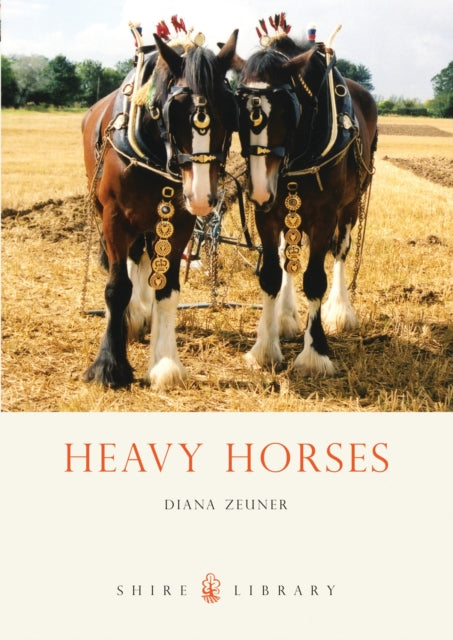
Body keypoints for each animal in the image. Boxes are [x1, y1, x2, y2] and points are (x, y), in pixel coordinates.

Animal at [82, 25, 239, 390]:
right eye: (173, 108)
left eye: (229, 107)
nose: (201, 195)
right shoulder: (114, 218)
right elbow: (117, 287)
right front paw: (109, 365)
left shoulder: (178, 222)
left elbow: (166, 289)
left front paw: (165, 363)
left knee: (140, 260)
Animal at [236, 21, 378, 376]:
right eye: (236, 109)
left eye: (287, 109)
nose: (260, 189)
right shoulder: (267, 214)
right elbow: (272, 274)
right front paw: (265, 347)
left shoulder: (325, 215)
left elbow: (314, 279)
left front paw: (315, 353)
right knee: (289, 255)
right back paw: (286, 316)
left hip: (351, 205)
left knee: (340, 251)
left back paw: (340, 310)